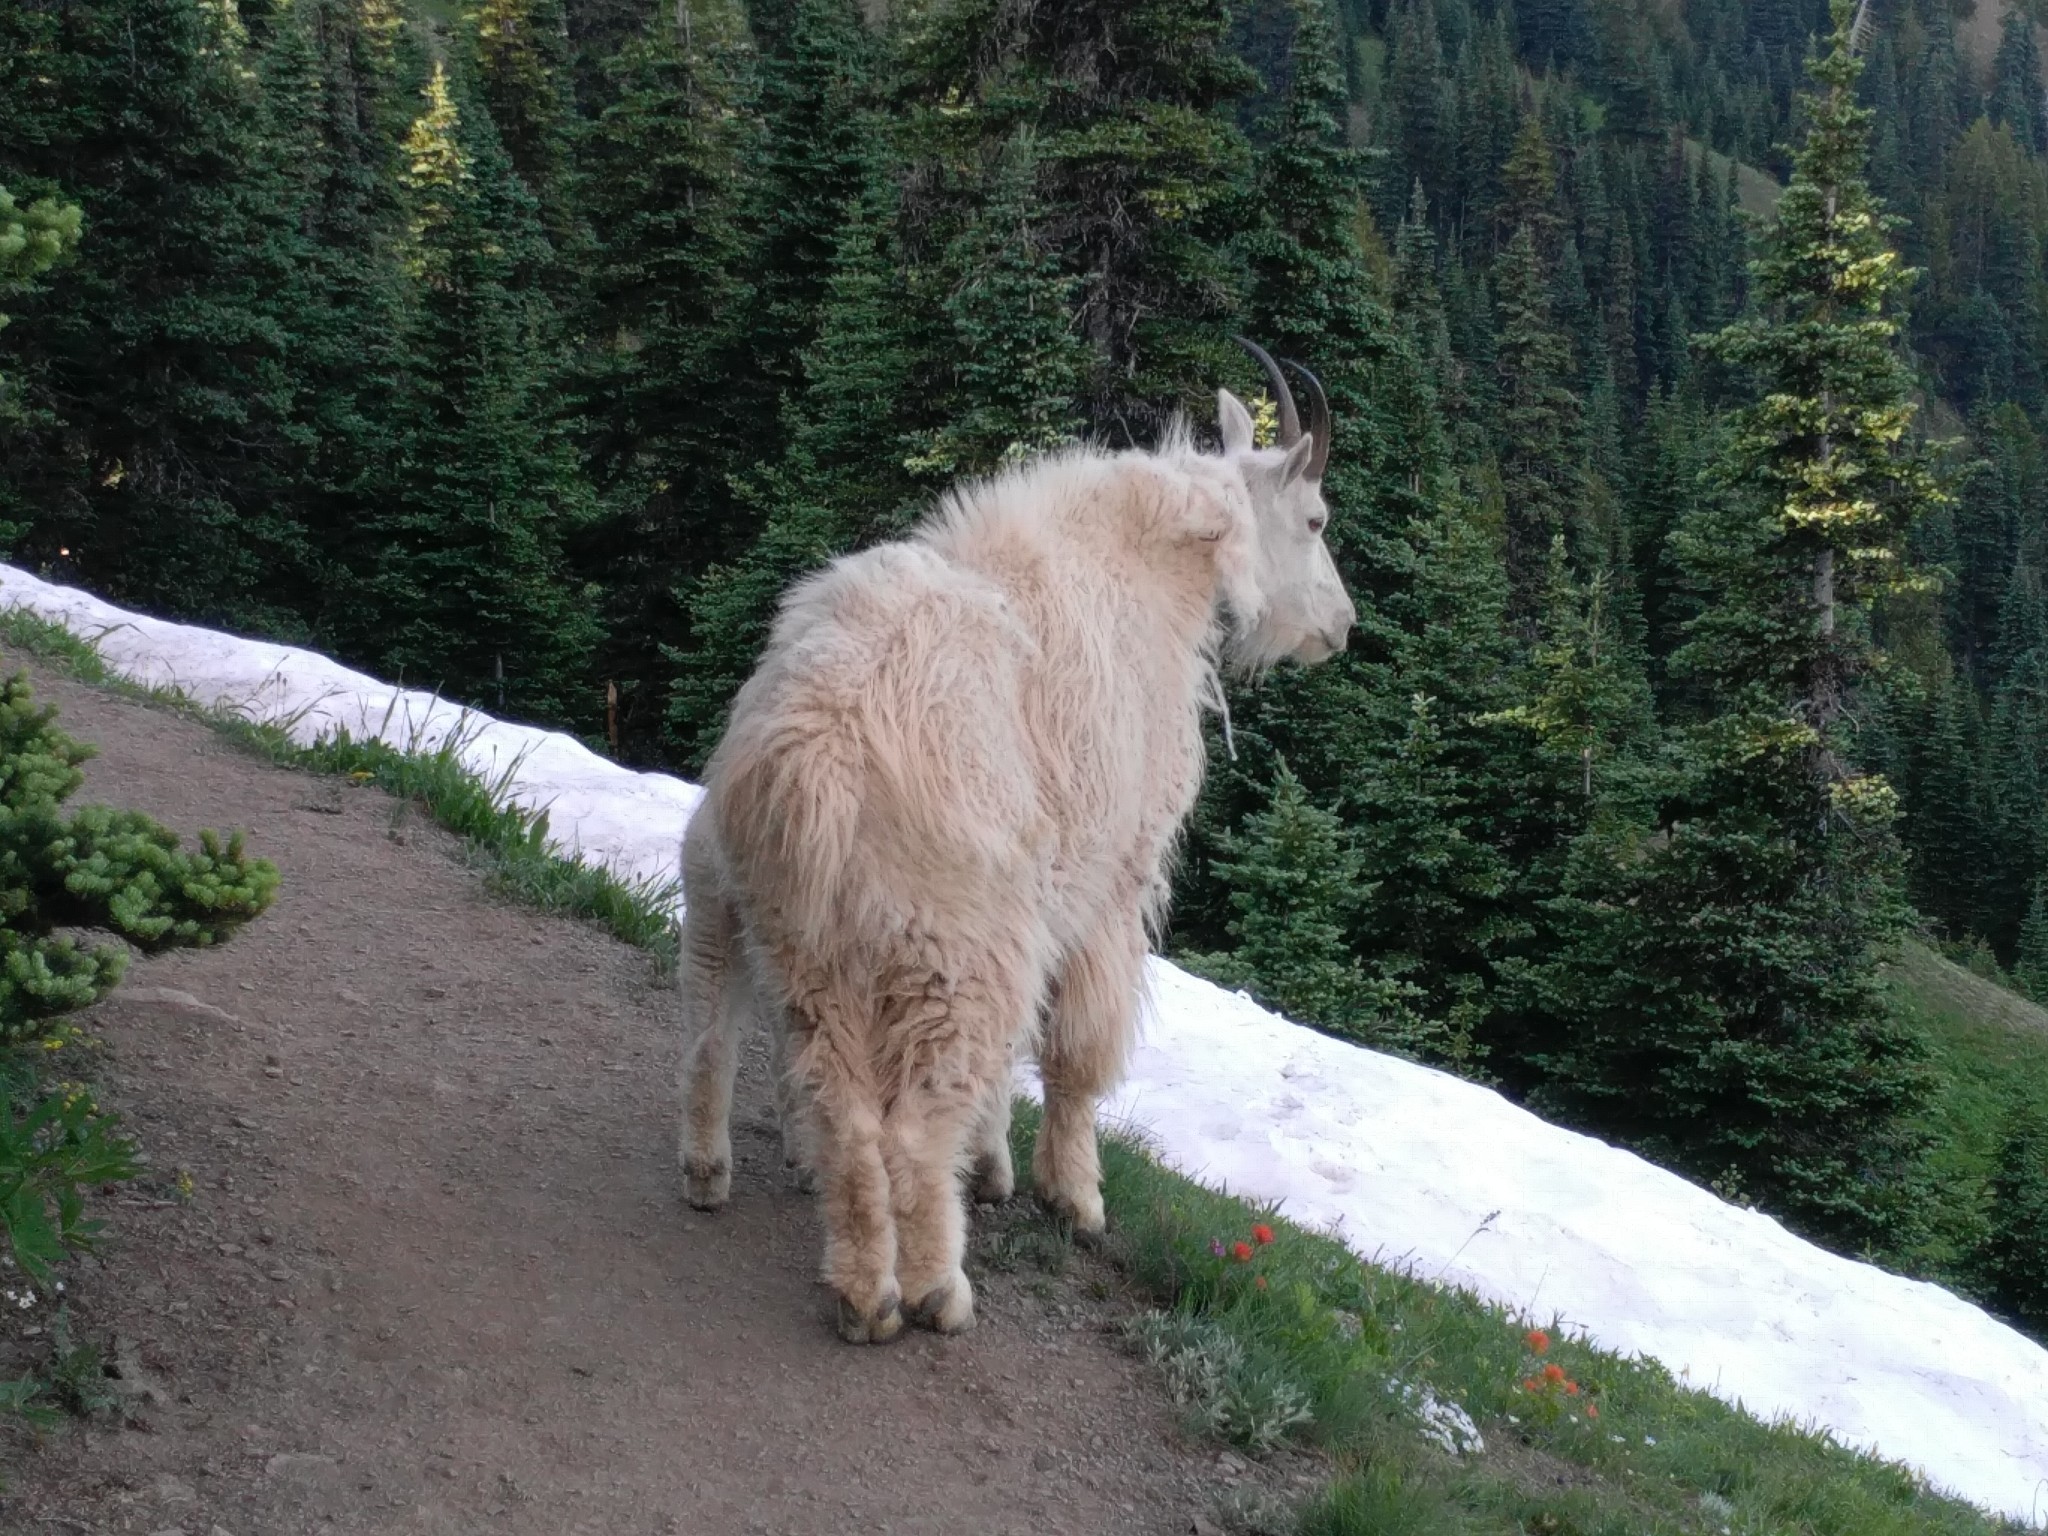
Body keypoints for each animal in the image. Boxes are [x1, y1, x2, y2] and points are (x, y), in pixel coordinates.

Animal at [679, 339, 1359, 1343]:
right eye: (1314, 518)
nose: (1339, 627)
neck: (1162, 567)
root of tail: (819, 754)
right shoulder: (1112, 877)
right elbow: (1077, 1047)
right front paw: (1072, 1197)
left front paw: (995, 1168)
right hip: (951, 942)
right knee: (914, 1117)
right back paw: (935, 1290)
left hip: (806, 939)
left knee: (818, 1092)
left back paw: (844, 1274)